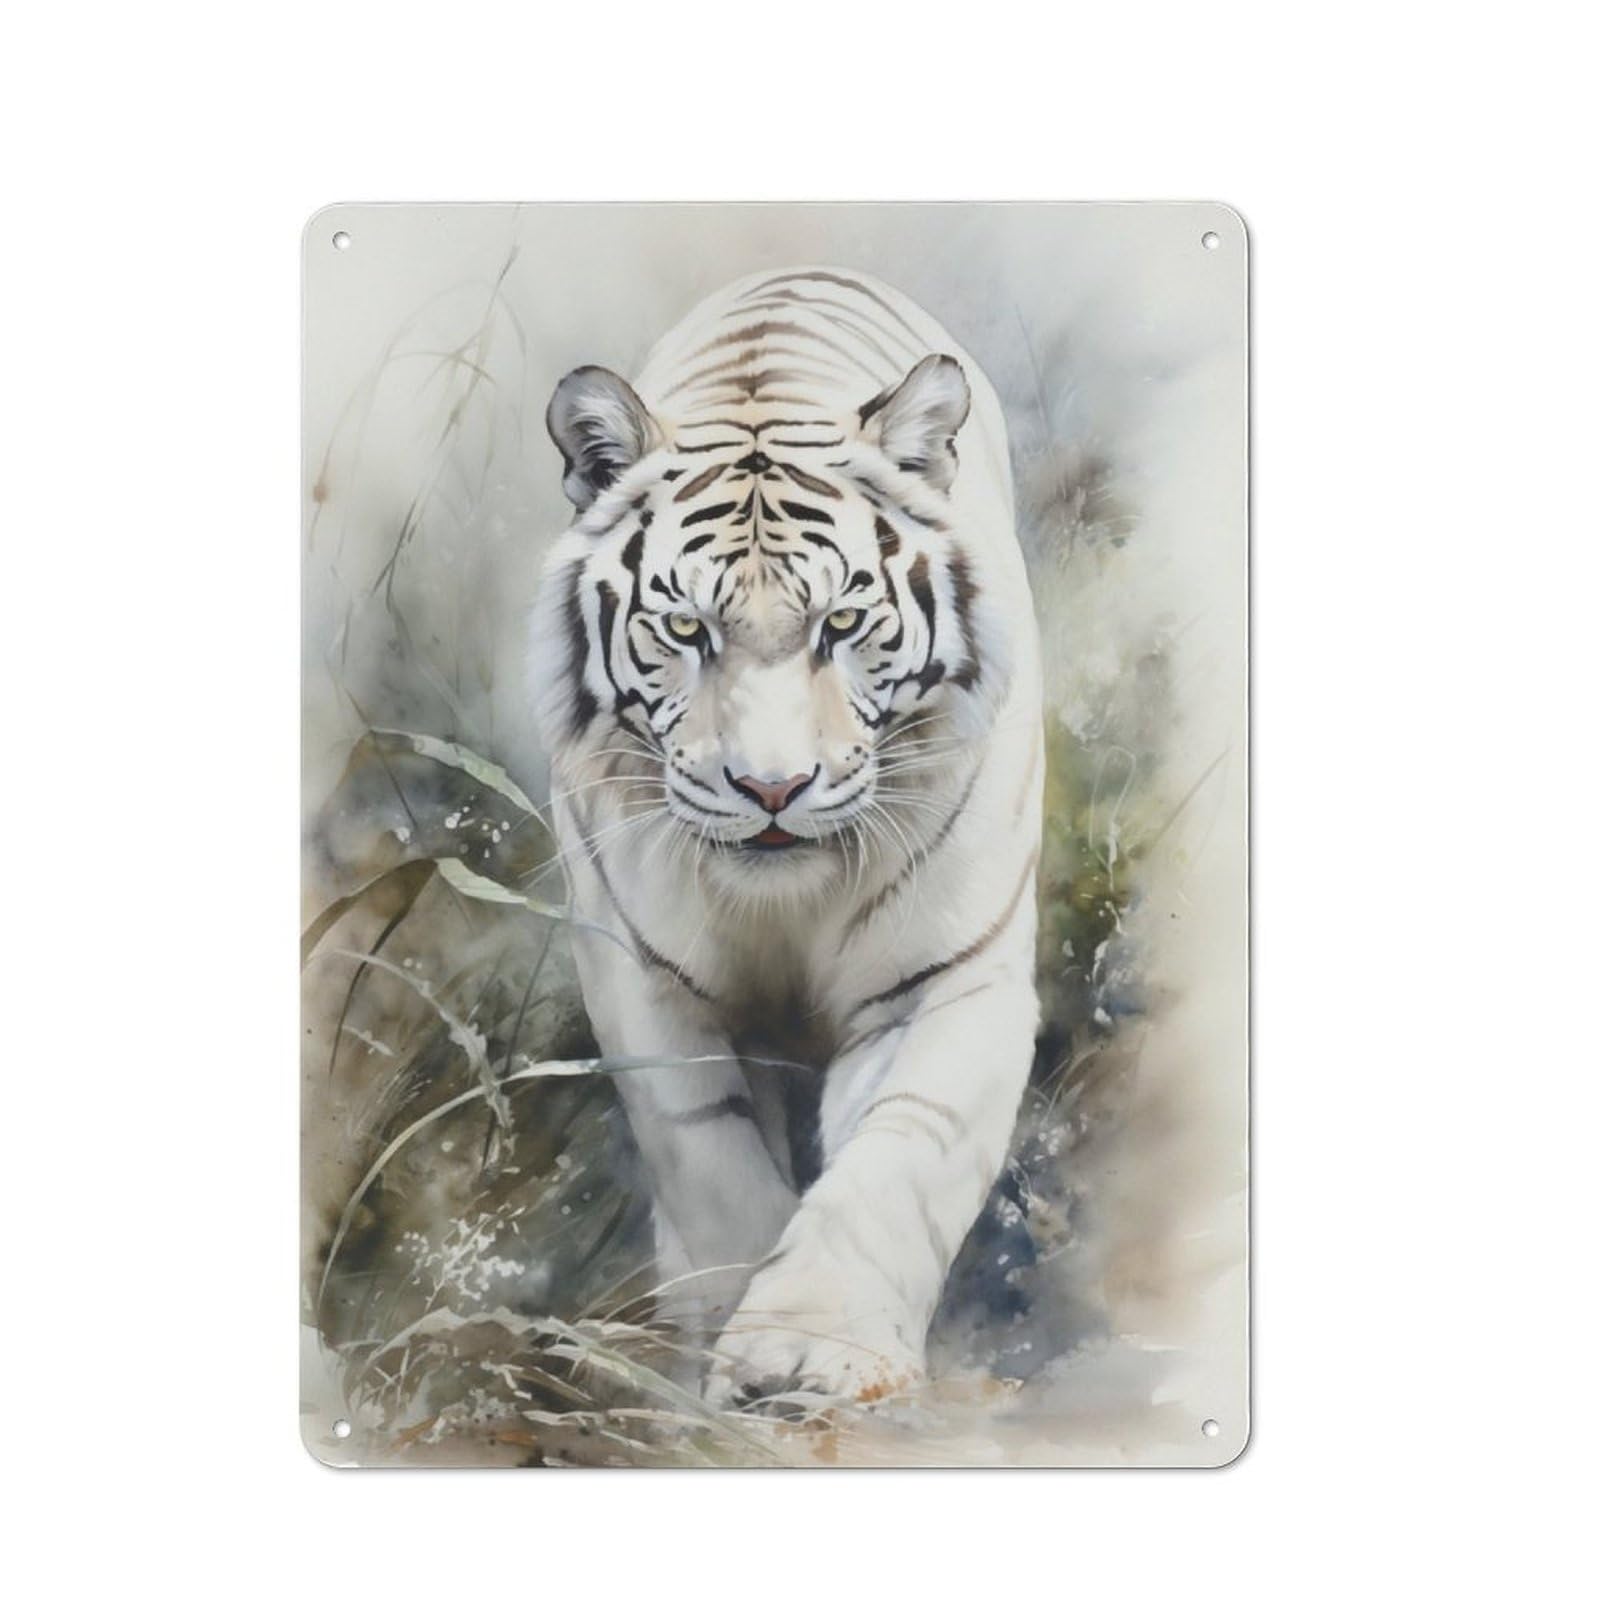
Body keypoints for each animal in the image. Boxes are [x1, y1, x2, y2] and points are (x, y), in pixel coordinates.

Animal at [528, 266, 1044, 1405]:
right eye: (685, 630)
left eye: (841, 624)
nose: (772, 787)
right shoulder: (643, 979)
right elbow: (711, 1164)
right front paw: (724, 1355)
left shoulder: (950, 974)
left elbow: (901, 1156)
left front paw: (809, 1354)